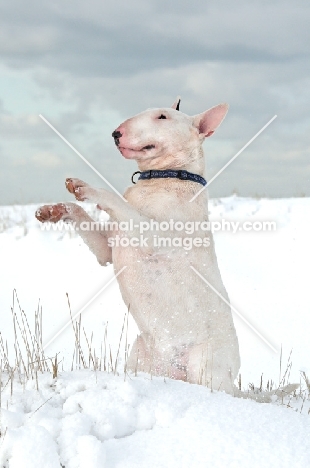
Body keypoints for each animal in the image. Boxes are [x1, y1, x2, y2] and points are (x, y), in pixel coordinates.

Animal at [35, 98, 298, 402]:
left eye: (162, 116)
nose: (115, 133)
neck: (163, 177)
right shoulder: (106, 250)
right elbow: (79, 213)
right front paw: (52, 210)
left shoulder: (151, 234)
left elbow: (114, 198)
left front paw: (87, 187)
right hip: (139, 354)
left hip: (203, 363)